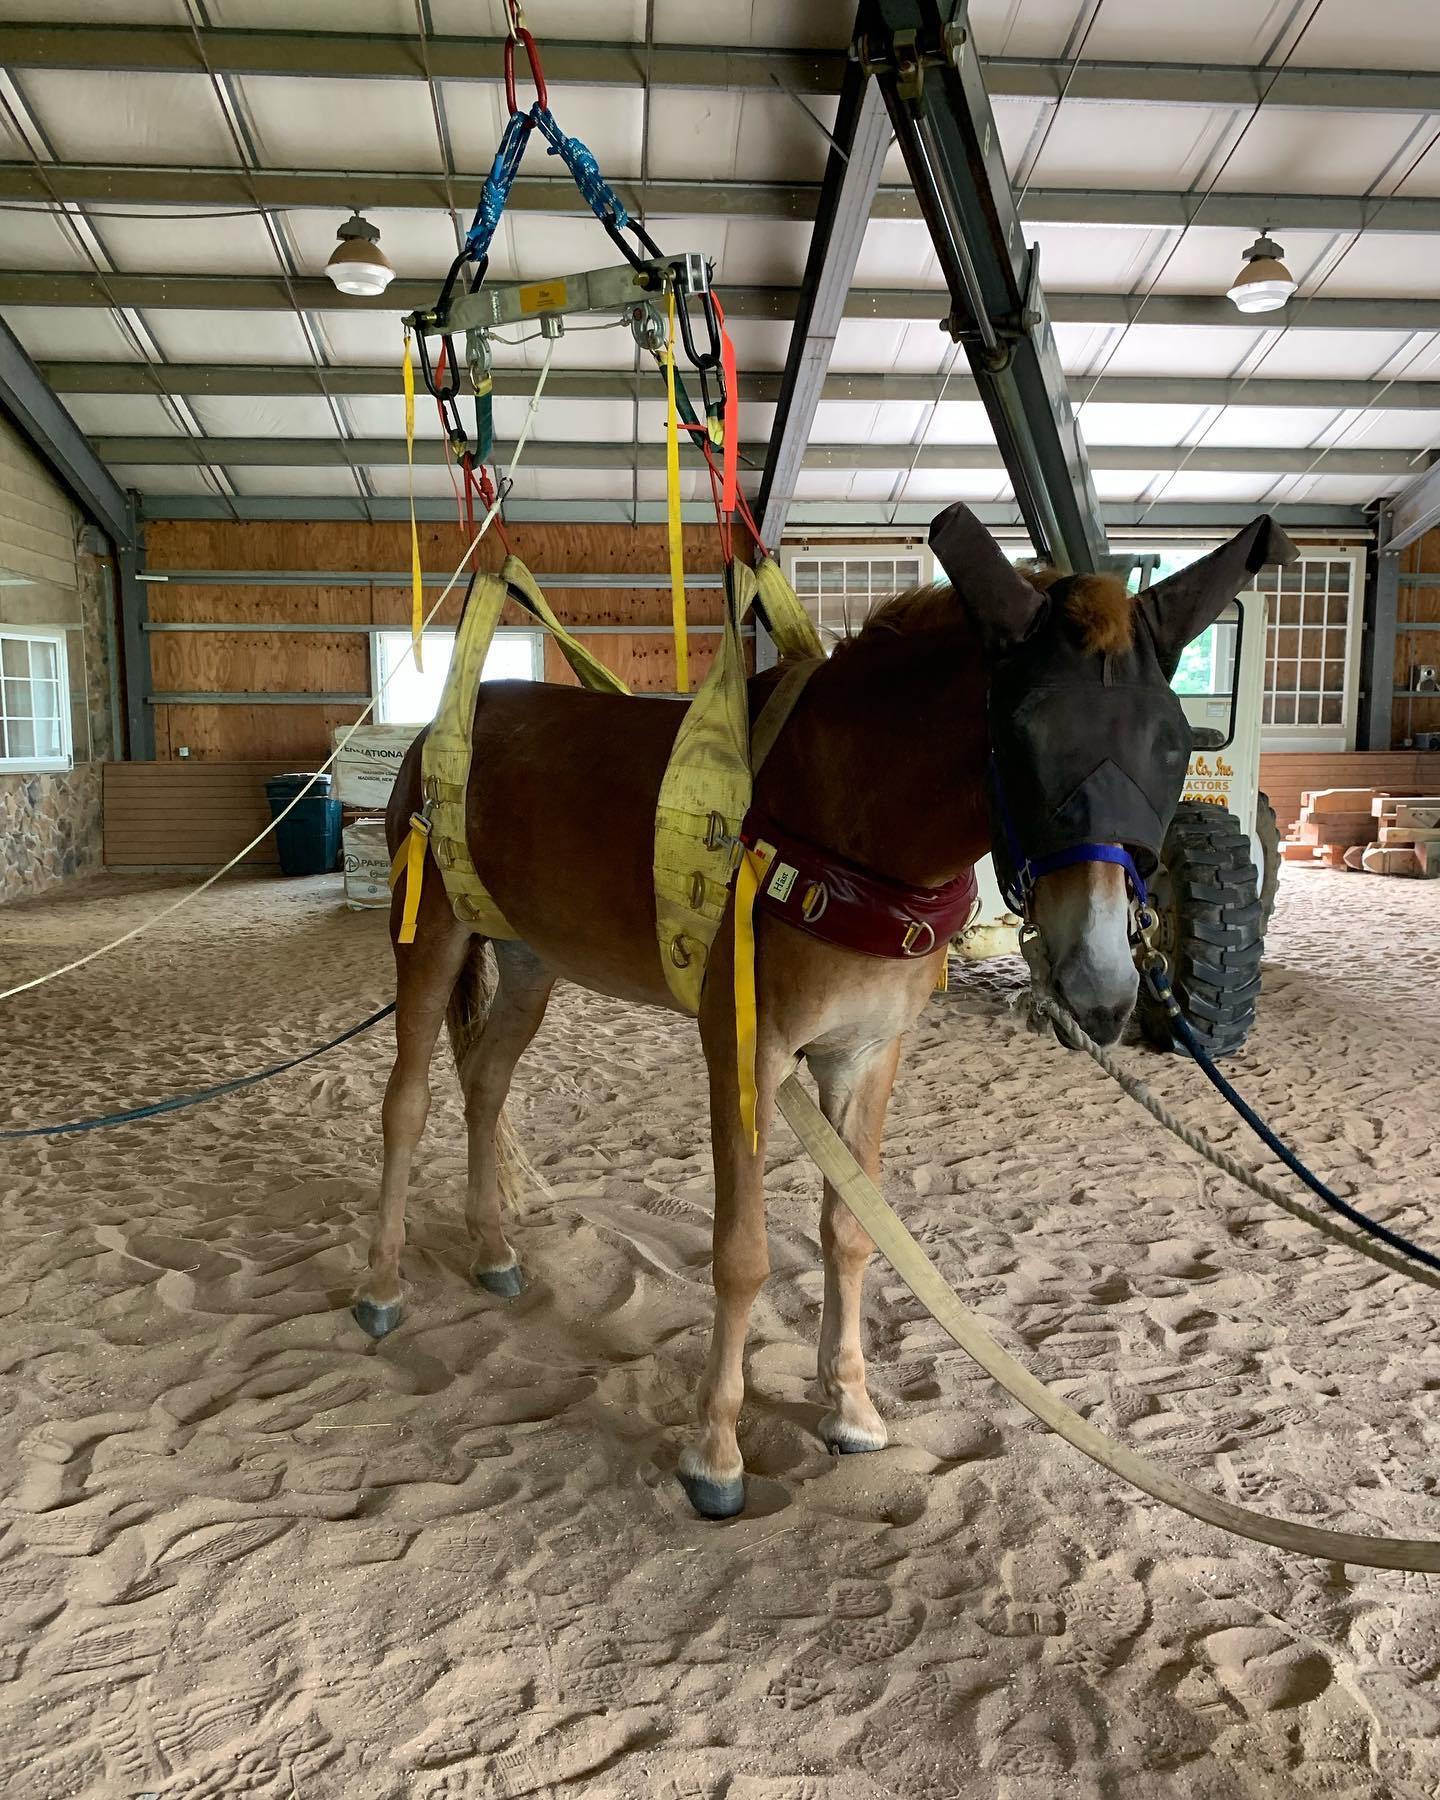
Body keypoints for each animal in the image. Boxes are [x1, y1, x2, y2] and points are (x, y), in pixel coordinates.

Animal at [351, 496, 1296, 1519]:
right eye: (1024, 734)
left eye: (1174, 742)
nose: (1102, 983)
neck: (841, 825)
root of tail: (445, 726)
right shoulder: (745, 1049)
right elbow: (742, 1253)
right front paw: (716, 1451)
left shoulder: (866, 1052)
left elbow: (850, 1233)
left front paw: (849, 1408)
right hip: (430, 936)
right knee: (406, 1104)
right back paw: (382, 1284)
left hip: (531, 960)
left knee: (485, 1083)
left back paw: (491, 1249)